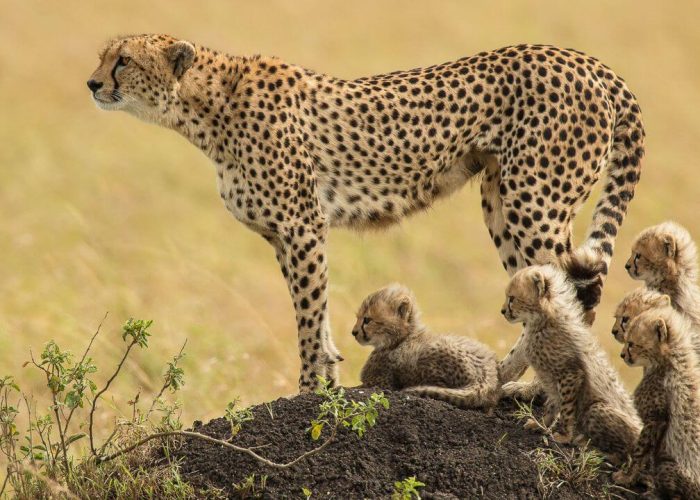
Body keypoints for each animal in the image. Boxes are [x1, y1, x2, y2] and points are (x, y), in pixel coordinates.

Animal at [88, 34, 645, 392]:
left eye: (123, 61)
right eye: (103, 57)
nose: (92, 84)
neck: (206, 108)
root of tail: (588, 61)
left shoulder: (302, 225)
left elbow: (309, 313)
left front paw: (312, 389)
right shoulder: (284, 235)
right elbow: (314, 313)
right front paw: (328, 374)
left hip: (534, 200)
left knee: (571, 295)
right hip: (501, 202)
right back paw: (505, 378)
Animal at [353, 284, 500, 410]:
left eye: (367, 320)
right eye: (358, 317)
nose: (353, 332)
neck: (401, 338)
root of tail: (487, 375)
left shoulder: (379, 382)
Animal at [501, 264, 641, 463]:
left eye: (512, 298)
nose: (503, 311)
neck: (542, 321)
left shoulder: (570, 375)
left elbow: (566, 409)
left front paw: (564, 436)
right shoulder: (552, 380)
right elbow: (552, 405)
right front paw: (541, 425)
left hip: (596, 409)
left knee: (624, 456)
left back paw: (593, 449)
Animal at [614, 307, 700, 499]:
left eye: (631, 343)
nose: (621, 355)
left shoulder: (656, 420)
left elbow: (640, 451)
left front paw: (626, 477)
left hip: (668, 466)